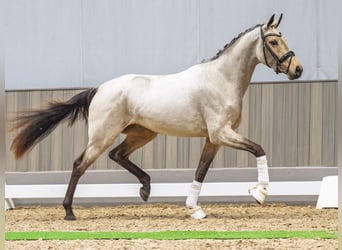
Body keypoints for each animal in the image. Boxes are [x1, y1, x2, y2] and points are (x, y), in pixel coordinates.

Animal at [10, 14, 302, 220]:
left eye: (283, 38)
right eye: (273, 41)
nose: (297, 69)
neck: (221, 80)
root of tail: (99, 89)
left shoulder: (214, 139)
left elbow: (201, 170)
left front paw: (194, 210)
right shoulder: (222, 133)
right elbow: (259, 149)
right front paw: (260, 193)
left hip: (142, 133)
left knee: (117, 155)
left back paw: (145, 189)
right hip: (103, 136)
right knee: (79, 164)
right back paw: (69, 212)